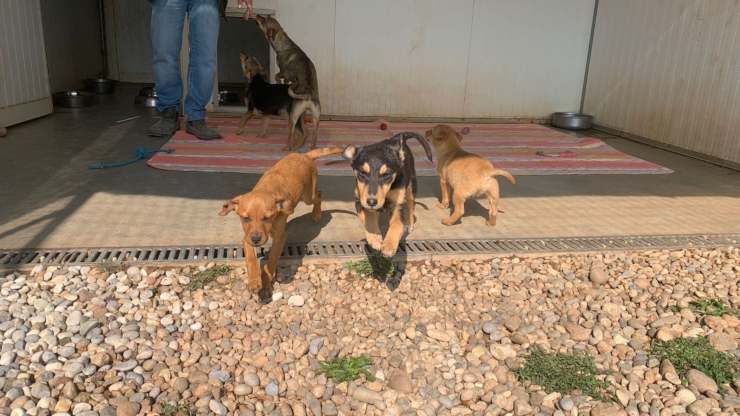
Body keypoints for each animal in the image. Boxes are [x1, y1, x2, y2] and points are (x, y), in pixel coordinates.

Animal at [220, 146, 344, 302]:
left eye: (267, 218)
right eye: (245, 218)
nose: (256, 240)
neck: (266, 188)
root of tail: (304, 155)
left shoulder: (280, 237)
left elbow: (271, 261)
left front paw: (266, 285)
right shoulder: (246, 237)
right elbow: (250, 259)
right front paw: (254, 281)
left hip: (307, 195)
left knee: (319, 195)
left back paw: (316, 214)